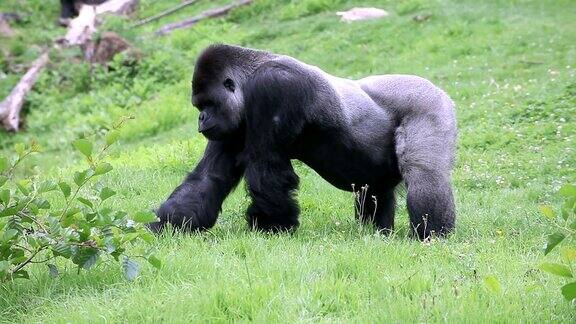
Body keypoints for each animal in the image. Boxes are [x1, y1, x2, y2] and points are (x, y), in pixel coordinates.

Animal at [151, 44, 456, 239]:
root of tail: (436, 88)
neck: (251, 74)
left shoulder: (272, 87)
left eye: (208, 104)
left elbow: (267, 170)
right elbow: (209, 178)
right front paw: (165, 227)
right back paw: (376, 232)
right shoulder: (232, 125)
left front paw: (272, 227)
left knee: (425, 174)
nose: (201, 119)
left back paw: (433, 234)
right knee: (375, 190)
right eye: (199, 105)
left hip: (430, 104)